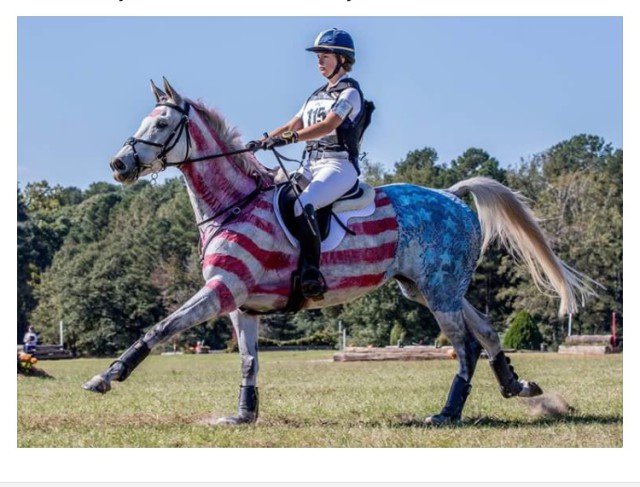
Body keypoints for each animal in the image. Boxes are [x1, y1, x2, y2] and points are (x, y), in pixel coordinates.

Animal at [81, 78, 596, 426]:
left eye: (163, 122)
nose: (118, 164)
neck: (234, 204)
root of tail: (451, 196)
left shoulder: (222, 290)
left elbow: (162, 327)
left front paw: (107, 376)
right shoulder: (241, 306)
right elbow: (248, 360)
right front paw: (243, 416)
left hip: (439, 291)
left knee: (466, 345)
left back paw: (447, 413)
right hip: (427, 289)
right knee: (486, 330)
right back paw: (518, 386)